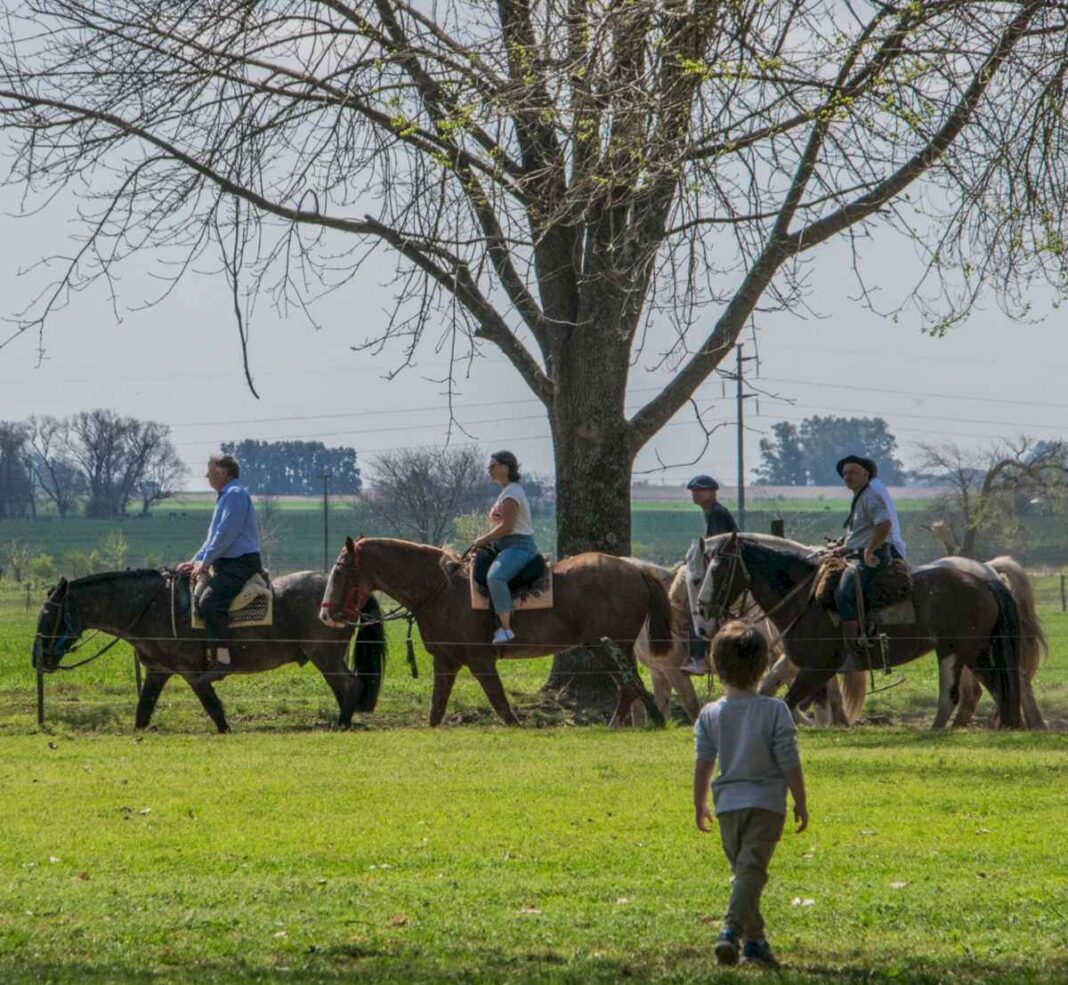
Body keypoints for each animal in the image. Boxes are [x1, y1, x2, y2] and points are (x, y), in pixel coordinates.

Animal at [34, 568, 388, 730]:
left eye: (49, 614)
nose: (38, 658)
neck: (151, 608)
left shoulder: (192, 674)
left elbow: (214, 708)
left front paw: (226, 730)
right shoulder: (158, 672)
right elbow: (143, 711)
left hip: (325, 656)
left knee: (350, 686)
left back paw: (342, 725)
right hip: (327, 657)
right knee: (345, 689)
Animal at [316, 538, 670, 722]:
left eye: (341, 570)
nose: (326, 614)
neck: (442, 589)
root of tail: (635, 569)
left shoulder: (480, 661)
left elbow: (501, 704)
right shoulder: (446, 662)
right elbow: (436, 709)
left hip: (606, 646)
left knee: (628, 686)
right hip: (610, 647)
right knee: (631, 687)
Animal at [696, 534, 1021, 726]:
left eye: (717, 569)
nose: (702, 616)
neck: (806, 598)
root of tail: (985, 581)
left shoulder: (819, 667)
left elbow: (788, 703)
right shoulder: (816, 672)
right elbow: (813, 708)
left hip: (952, 652)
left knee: (950, 697)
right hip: (978, 653)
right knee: (1000, 692)